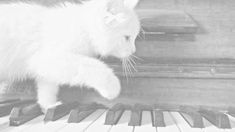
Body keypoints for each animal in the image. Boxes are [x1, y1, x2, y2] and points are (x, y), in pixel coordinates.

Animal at [0, 0, 140, 111]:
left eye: (134, 38)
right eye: (127, 38)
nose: (133, 50)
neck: (84, 28)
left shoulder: (48, 69)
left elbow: (48, 88)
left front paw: (49, 106)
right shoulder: (51, 58)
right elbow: (91, 66)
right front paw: (112, 87)